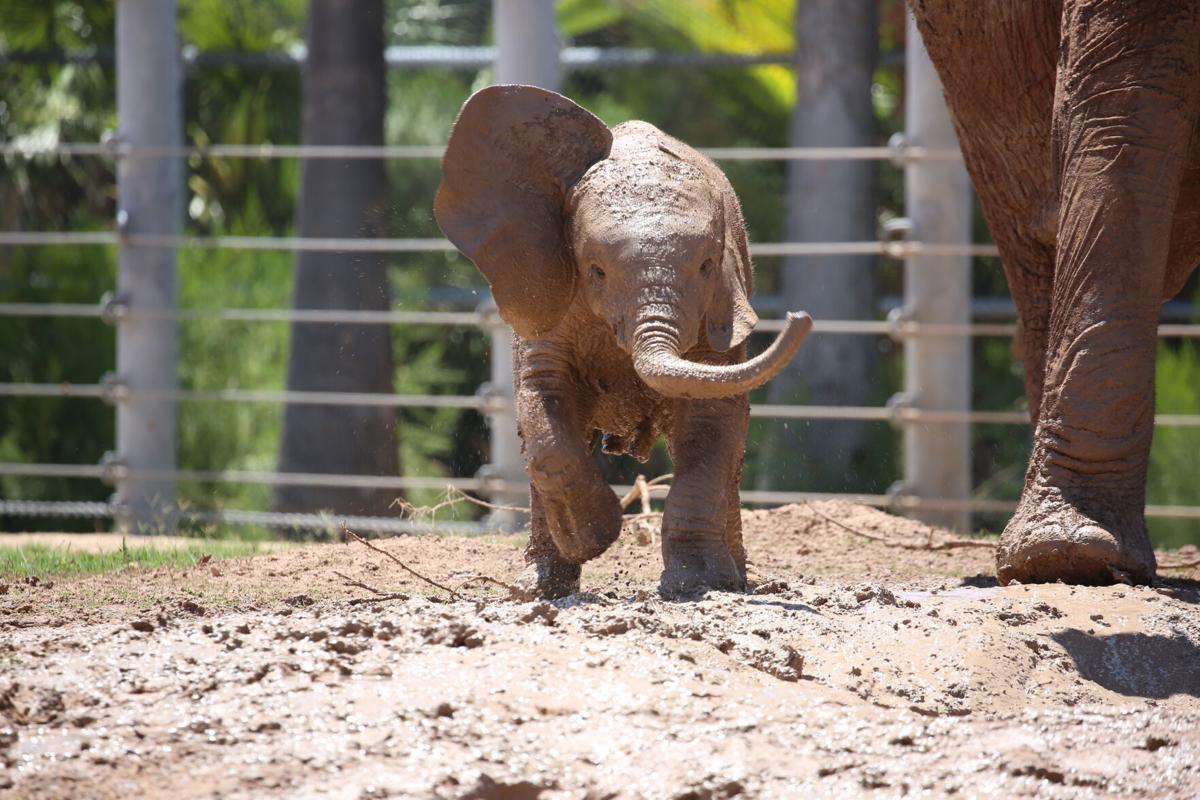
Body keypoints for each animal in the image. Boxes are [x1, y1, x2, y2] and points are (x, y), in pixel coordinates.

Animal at [436, 89, 811, 599]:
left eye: (707, 265)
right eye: (595, 270)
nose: (798, 318)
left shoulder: (718, 314)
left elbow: (712, 424)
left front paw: (695, 585)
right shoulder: (549, 292)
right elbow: (544, 402)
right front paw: (595, 538)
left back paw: (733, 582)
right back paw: (540, 588)